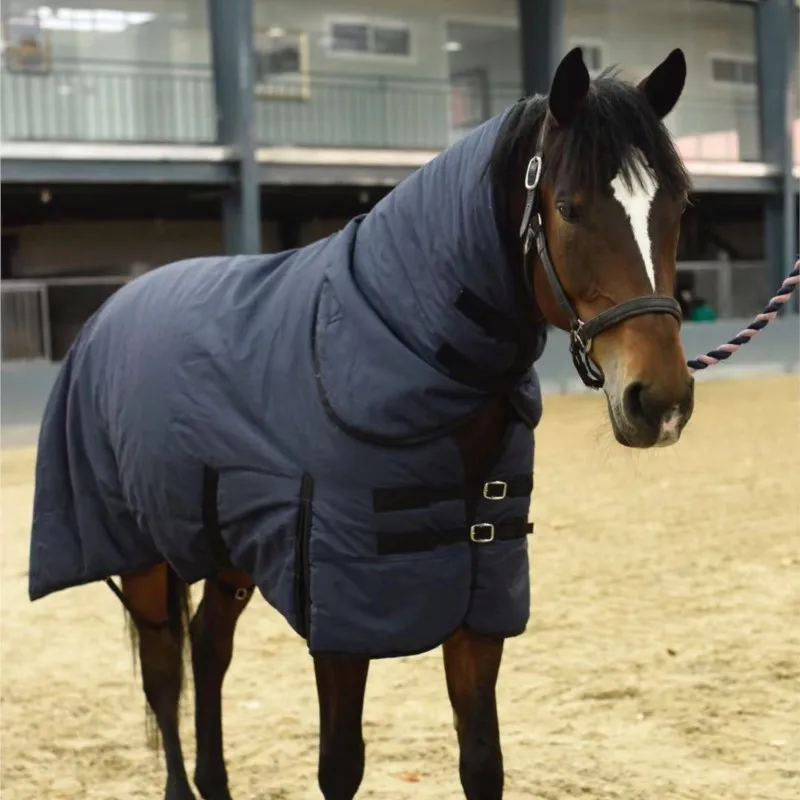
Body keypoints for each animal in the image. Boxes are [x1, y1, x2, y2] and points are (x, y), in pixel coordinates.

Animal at [28, 47, 694, 800]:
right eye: (567, 208)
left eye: (678, 207)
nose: (660, 400)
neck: (392, 342)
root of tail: (109, 311)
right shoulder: (343, 612)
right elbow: (341, 765)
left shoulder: (478, 600)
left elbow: (482, 763)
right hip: (140, 551)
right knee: (165, 669)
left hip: (227, 557)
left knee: (208, 649)